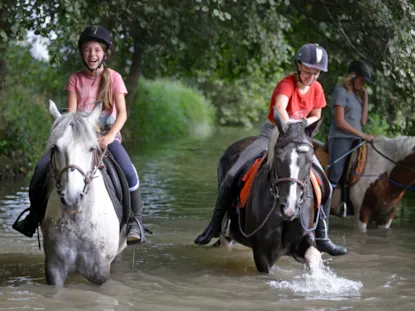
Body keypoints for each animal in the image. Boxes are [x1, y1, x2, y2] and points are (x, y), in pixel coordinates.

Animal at [42, 101, 127, 286]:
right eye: (55, 148)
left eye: (91, 148)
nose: (72, 198)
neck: (78, 218)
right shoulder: (54, 268)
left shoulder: (101, 271)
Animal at [216, 114, 324, 272]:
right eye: (278, 157)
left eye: (310, 159)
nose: (289, 209)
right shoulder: (262, 251)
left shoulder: (303, 239)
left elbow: (313, 256)